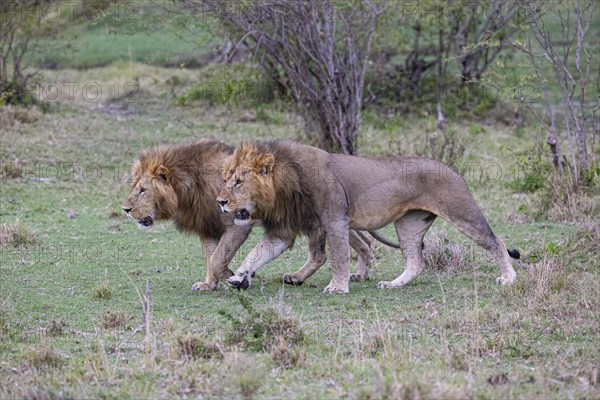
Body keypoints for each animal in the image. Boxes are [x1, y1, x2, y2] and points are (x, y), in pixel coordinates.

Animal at [217, 141, 520, 294]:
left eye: (239, 182)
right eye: (226, 179)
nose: (220, 202)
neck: (283, 185)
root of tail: (453, 169)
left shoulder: (335, 220)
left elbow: (339, 257)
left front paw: (338, 287)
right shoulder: (285, 229)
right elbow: (256, 253)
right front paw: (239, 277)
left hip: (462, 211)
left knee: (497, 242)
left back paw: (508, 278)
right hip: (409, 223)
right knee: (416, 262)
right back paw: (393, 284)